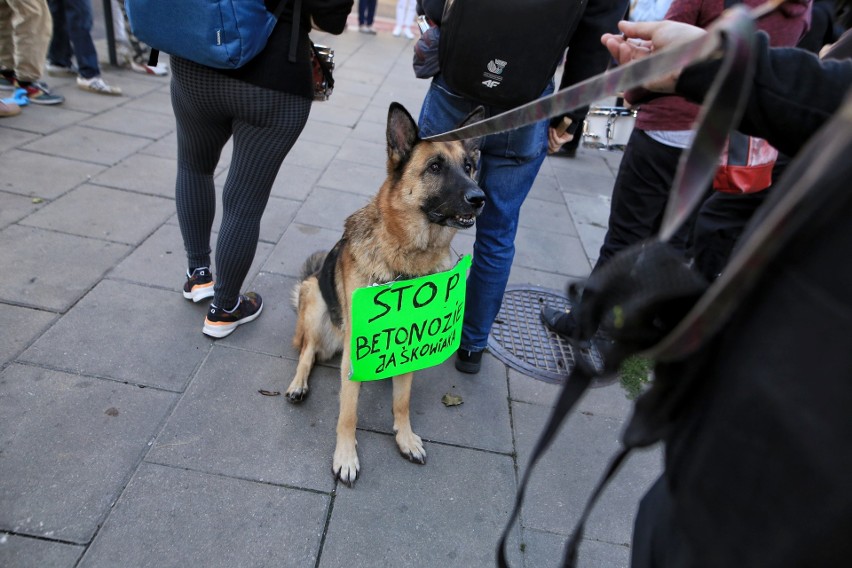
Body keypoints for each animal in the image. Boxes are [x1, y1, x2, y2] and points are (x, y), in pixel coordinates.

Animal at [288, 102, 482, 484]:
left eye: (469, 166)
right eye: (435, 167)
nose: (479, 198)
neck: (406, 256)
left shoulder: (410, 345)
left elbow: (402, 401)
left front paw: (405, 438)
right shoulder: (354, 354)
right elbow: (348, 412)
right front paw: (346, 457)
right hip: (315, 300)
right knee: (307, 351)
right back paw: (298, 384)